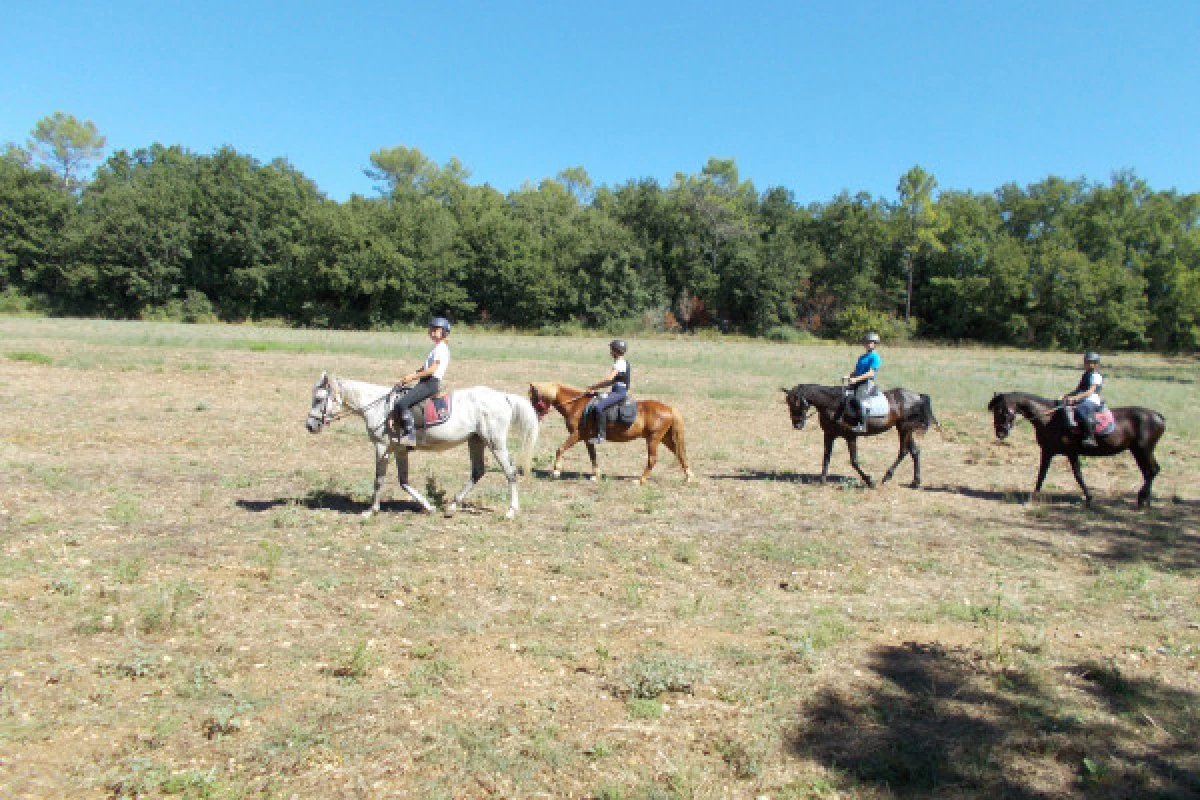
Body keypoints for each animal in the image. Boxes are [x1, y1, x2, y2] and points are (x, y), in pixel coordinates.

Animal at [304, 374, 540, 520]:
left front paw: (371, 511)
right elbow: (404, 482)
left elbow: (379, 480)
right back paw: (451, 507)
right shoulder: (399, 450)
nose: (310, 426)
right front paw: (429, 506)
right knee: (478, 471)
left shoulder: (382, 448)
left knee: (510, 472)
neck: (379, 407)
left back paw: (511, 511)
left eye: (319, 399)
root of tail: (503, 397)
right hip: (476, 440)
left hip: (495, 442)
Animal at [525, 383, 696, 484]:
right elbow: (593, 456)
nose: (532, 415)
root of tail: (670, 409)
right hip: (665, 439)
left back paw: (641, 480)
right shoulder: (588, 439)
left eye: (533, 397)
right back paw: (689, 477)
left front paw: (556, 471)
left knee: (652, 459)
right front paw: (596, 475)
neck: (576, 405)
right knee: (680, 454)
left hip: (653, 439)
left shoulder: (577, 435)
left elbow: (560, 449)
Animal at [782, 383, 940, 489]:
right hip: (905, 429)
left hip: (904, 428)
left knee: (904, 451)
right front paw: (822, 481)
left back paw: (887, 476)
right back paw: (915, 482)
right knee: (914, 451)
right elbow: (826, 457)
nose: (797, 425)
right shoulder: (829, 435)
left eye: (798, 403)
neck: (834, 405)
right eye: (788, 403)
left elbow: (854, 461)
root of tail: (918, 395)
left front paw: (870, 481)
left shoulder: (850, 437)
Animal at [988, 393, 1166, 510]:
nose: (1000, 433)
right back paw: (1144, 501)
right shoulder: (1047, 451)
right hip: (1138, 451)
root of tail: (1158, 416)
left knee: (1152, 471)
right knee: (1149, 472)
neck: (1051, 419)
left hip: (1144, 449)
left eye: (1002, 411)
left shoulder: (1071, 452)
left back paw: (1142, 499)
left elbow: (1078, 475)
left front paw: (1089, 498)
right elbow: (1042, 475)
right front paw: (1033, 497)